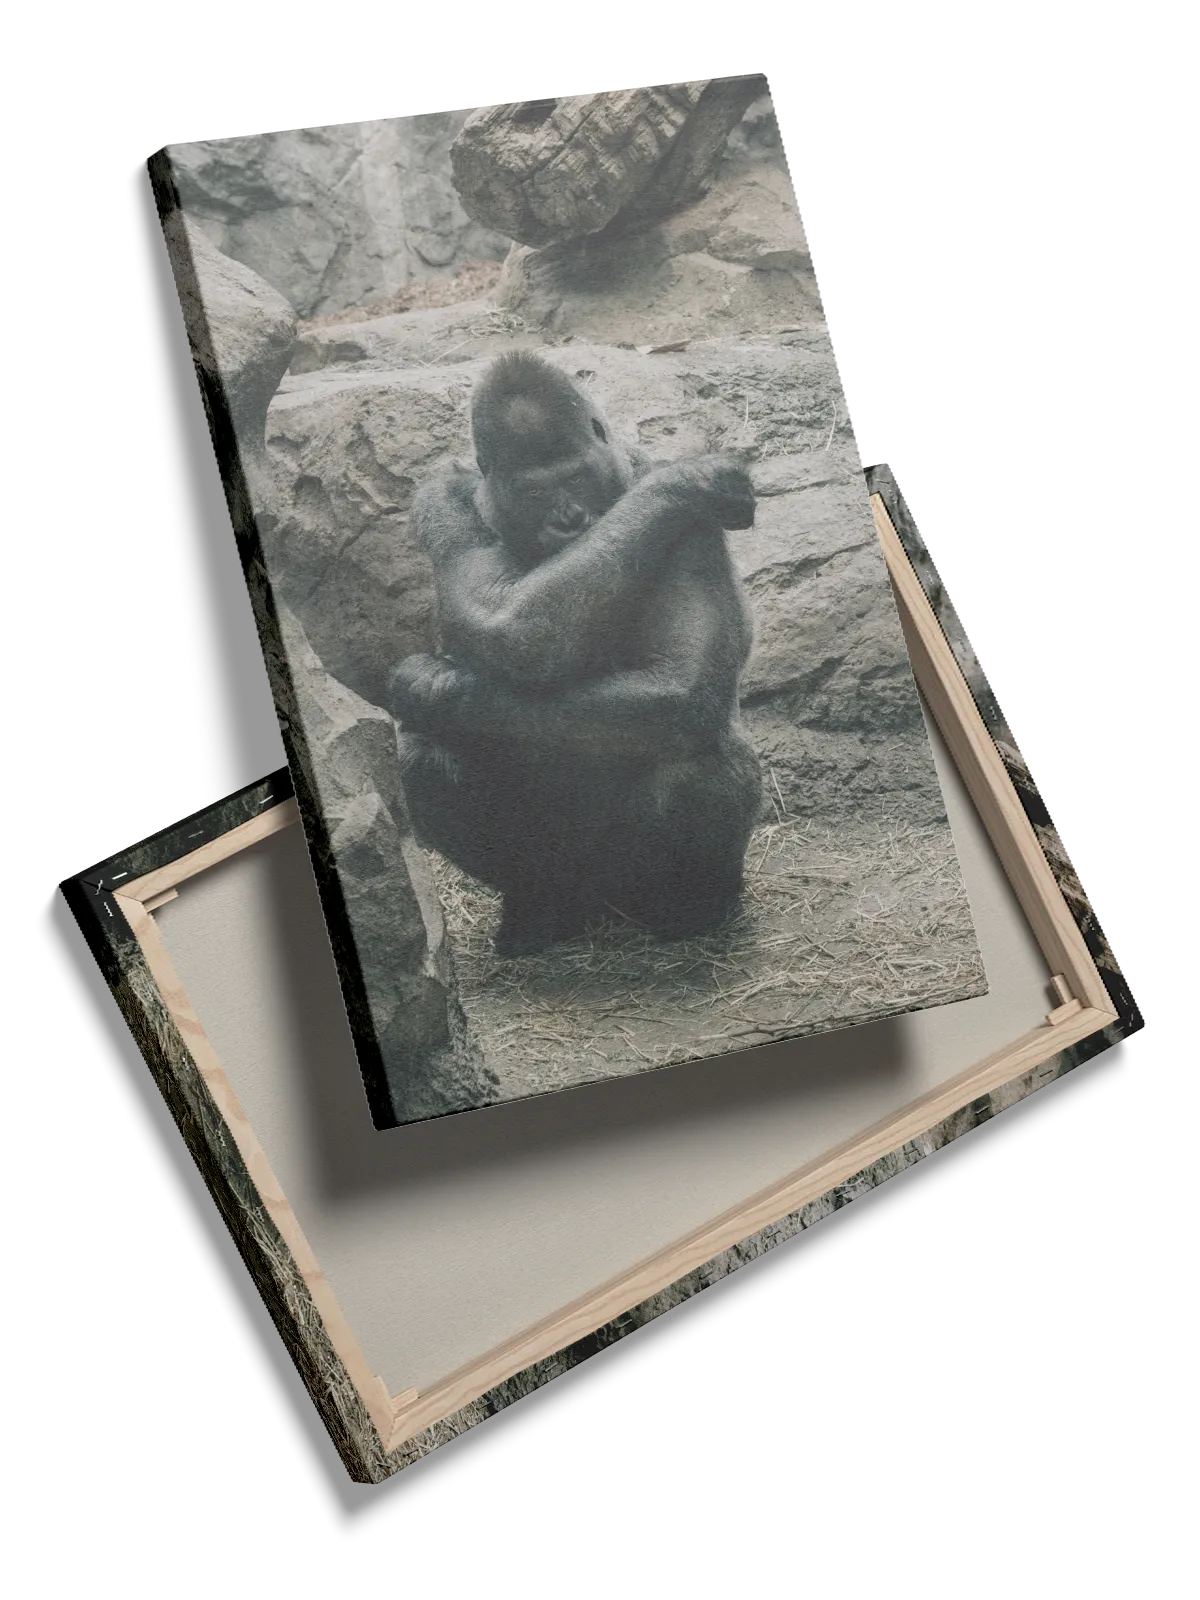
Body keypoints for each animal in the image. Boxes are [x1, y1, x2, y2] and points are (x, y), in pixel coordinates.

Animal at [389, 351, 763, 956]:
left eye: (577, 478)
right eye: (535, 493)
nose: (568, 520)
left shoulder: (693, 527)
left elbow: (681, 684)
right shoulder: (441, 498)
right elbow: (500, 615)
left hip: (631, 881)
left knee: (691, 756)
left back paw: (689, 909)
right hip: (566, 875)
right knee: (422, 758)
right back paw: (541, 910)